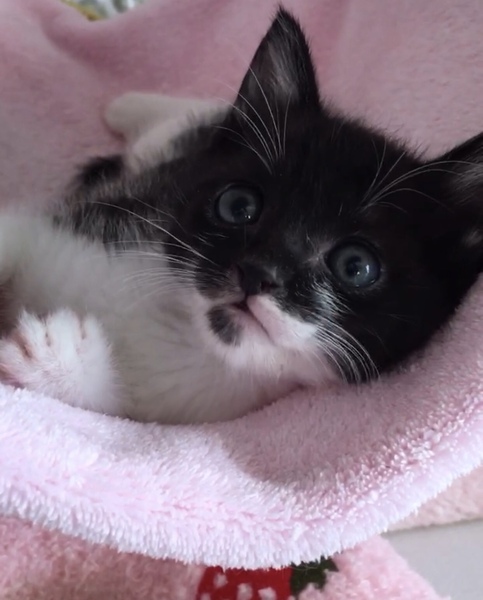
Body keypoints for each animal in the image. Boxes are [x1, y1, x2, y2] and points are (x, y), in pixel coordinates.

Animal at [0, 8, 482, 424]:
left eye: (356, 266)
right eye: (238, 206)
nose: (258, 273)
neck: (182, 331)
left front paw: (56, 358)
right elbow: (13, 237)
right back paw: (128, 104)